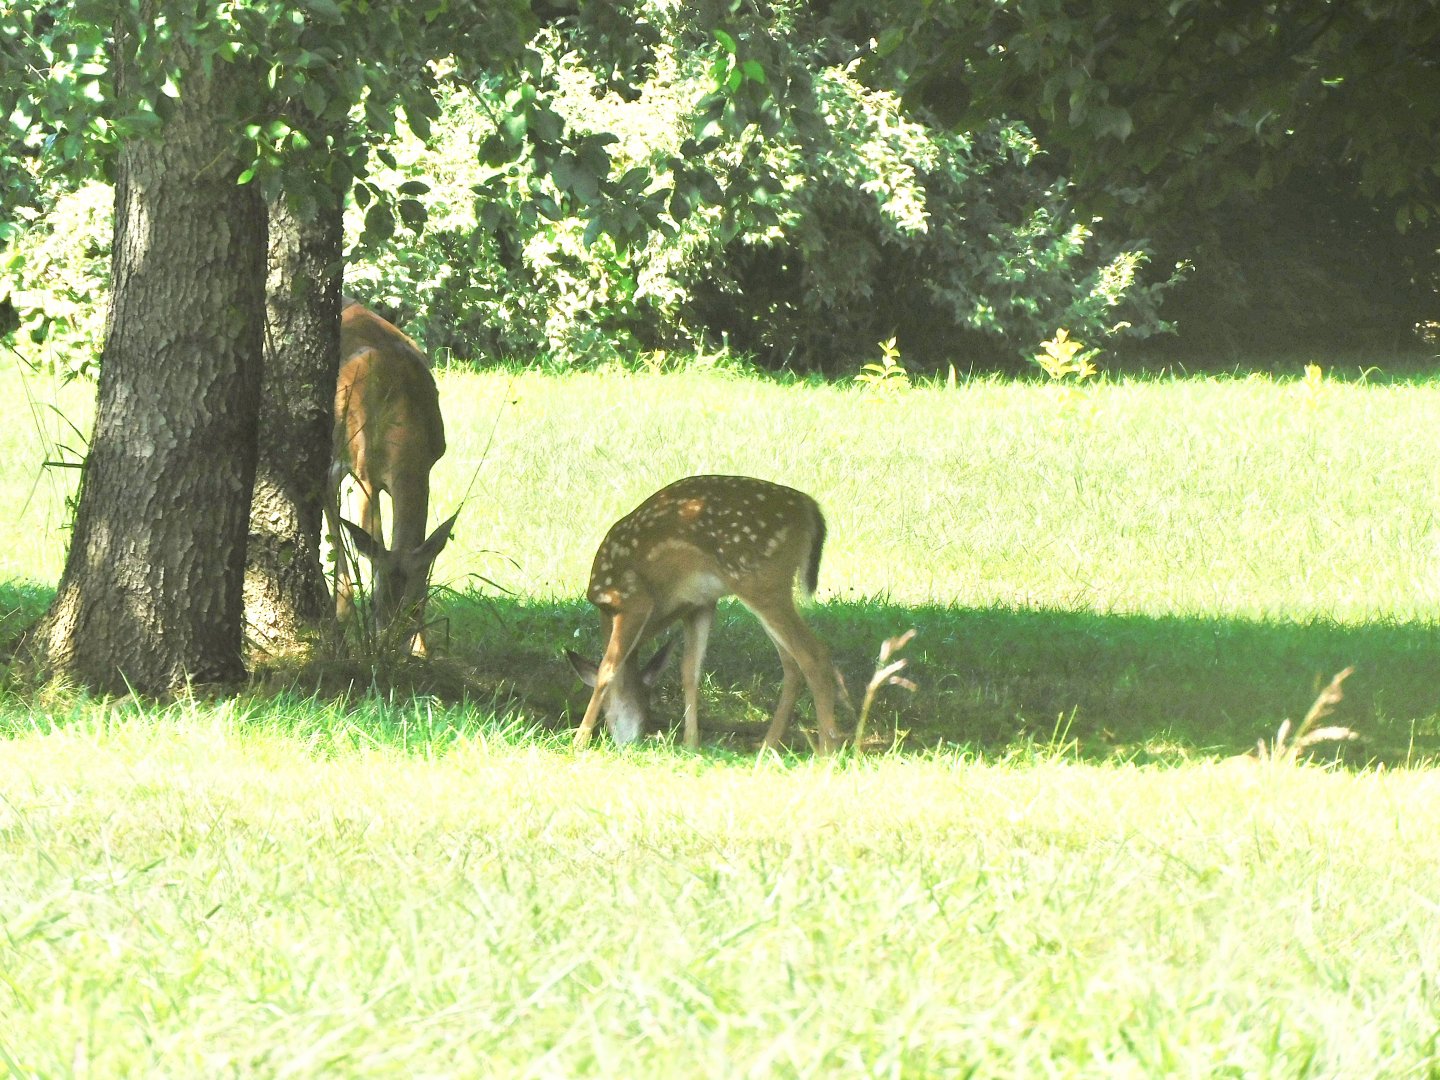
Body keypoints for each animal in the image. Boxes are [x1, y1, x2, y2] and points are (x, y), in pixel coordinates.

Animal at [326, 298, 457, 655]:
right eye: (374, 605)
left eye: (419, 605)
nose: (387, 650)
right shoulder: (364, 474)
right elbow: (372, 542)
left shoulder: (429, 464)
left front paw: (422, 650)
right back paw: (341, 614)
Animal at [566, 474, 843, 754]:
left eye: (647, 701)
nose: (636, 740)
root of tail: (809, 508)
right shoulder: (699, 604)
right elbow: (690, 671)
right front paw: (690, 744)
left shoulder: (632, 600)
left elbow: (607, 669)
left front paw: (578, 742)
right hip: (767, 588)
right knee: (791, 664)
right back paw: (767, 746)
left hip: (760, 581)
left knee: (814, 655)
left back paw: (826, 750)